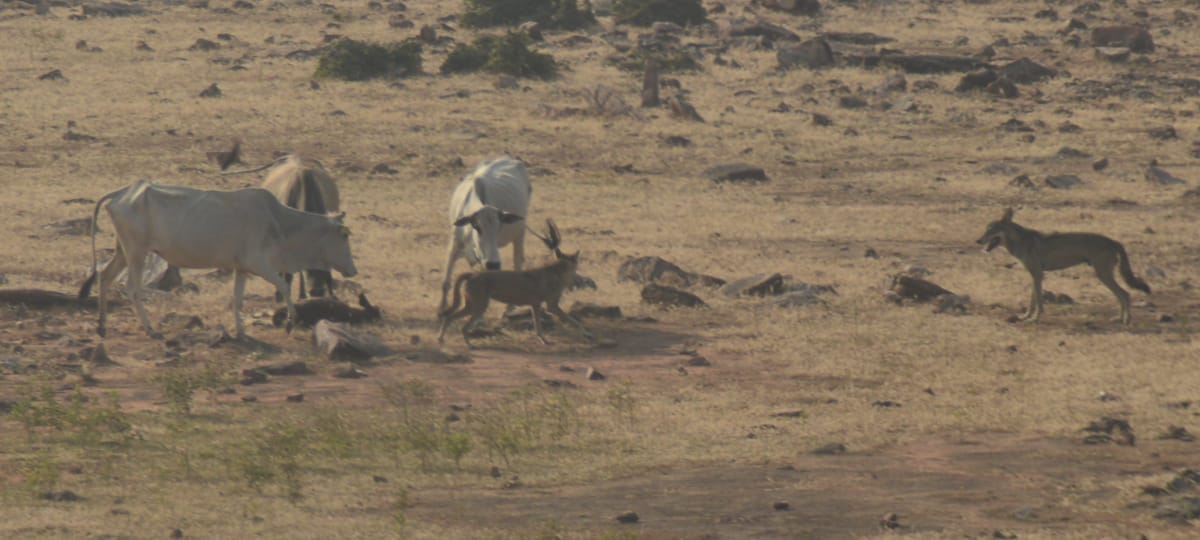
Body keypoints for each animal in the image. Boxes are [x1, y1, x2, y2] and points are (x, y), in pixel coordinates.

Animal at [77, 180, 357, 340]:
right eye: (344, 235)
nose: (353, 269)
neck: (279, 222)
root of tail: (121, 193)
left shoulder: (241, 268)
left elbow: (238, 299)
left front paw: (241, 331)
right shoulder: (259, 264)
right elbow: (285, 287)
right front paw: (289, 323)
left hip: (123, 251)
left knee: (104, 277)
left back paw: (102, 326)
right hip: (137, 252)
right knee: (133, 289)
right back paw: (151, 329)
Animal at [439, 156, 532, 314]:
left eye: (500, 226)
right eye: (477, 227)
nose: (493, 264)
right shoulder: (455, 244)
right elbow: (446, 281)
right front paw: (441, 309)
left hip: (520, 234)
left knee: (517, 262)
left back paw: (510, 307)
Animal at [976, 208, 1150, 324]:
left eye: (991, 230)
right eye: (985, 230)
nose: (978, 240)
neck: (1021, 241)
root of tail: (1113, 241)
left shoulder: (1038, 274)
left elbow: (1039, 302)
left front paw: (1034, 318)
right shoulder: (1034, 275)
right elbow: (1032, 300)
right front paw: (1026, 316)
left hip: (1103, 275)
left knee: (1124, 294)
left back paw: (1126, 320)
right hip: (1104, 275)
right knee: (1122, 295)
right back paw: (1119, 318)